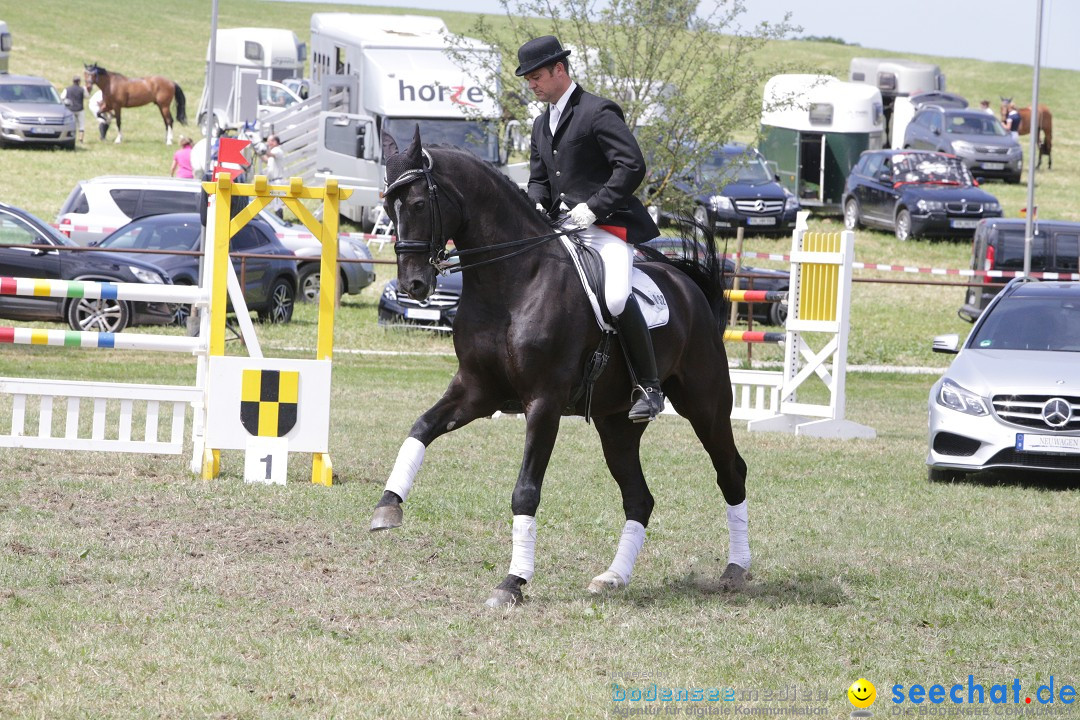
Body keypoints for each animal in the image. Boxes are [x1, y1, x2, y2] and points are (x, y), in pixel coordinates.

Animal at [371, 129, 751, 608]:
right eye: (389, 208)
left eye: (420, 204)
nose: (413, 285)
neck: (512, 281)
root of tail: (688, 285)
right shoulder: (476, 390)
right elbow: (420, 428)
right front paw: (388, 505)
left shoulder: (544, 403)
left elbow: (525, 491)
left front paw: (512, 582)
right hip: (616, 425)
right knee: (639, 498)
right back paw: (613, 577)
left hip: (706, 404)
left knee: (730, 472)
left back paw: (737, 569)